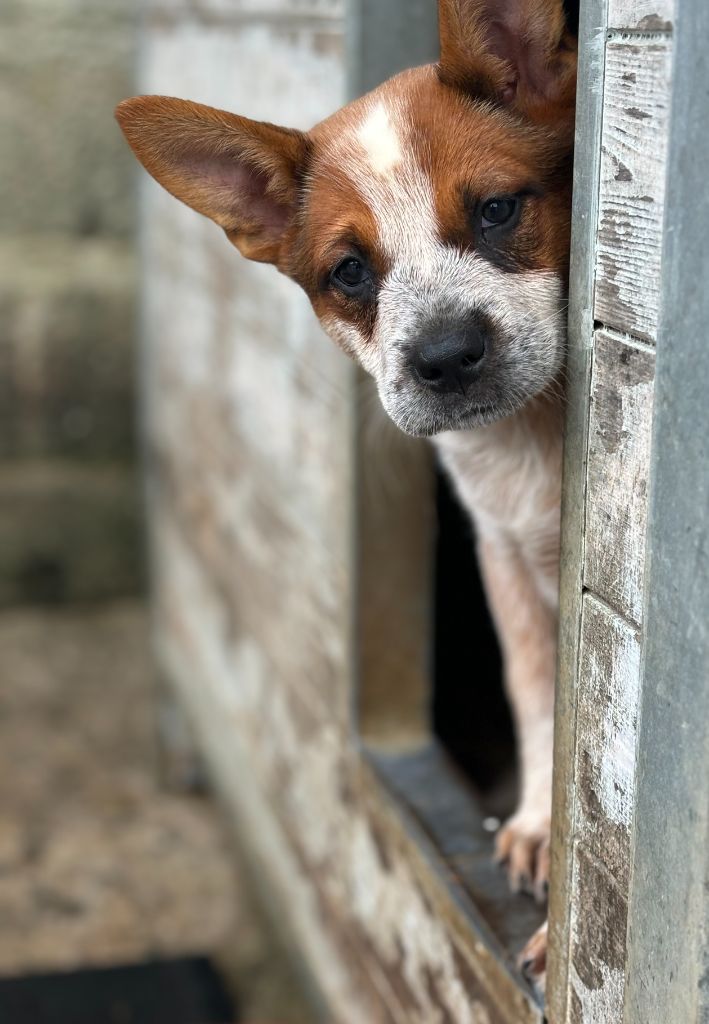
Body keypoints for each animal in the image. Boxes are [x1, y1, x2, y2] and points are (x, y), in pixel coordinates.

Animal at [116, 0, 577, 974]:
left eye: (495, 210)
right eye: (350, 273)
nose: (444, 356)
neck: (530, 443)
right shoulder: (503, 556)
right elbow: (532, 691)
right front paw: (535, 824)